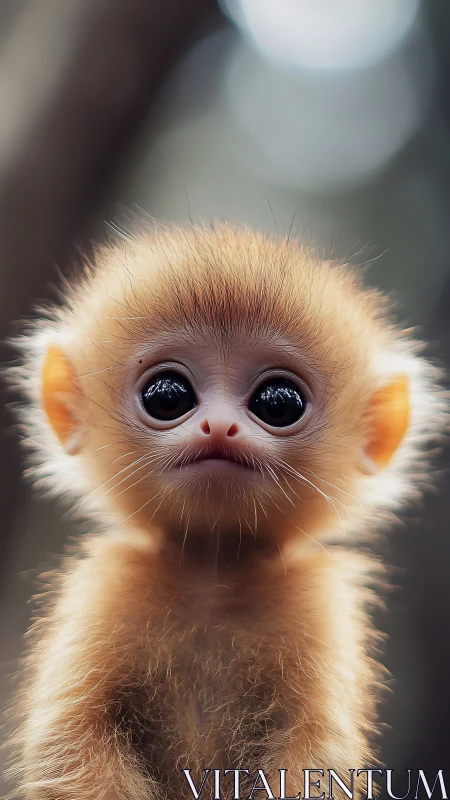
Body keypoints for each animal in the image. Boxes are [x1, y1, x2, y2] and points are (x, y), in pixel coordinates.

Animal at [4, 222, 447, 800]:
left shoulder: (319, 607)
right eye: (167, 395)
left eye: (278, 401)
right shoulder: (104, 586)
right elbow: (68, 745)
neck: (211, 576)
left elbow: (317, 758)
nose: (218, 427)